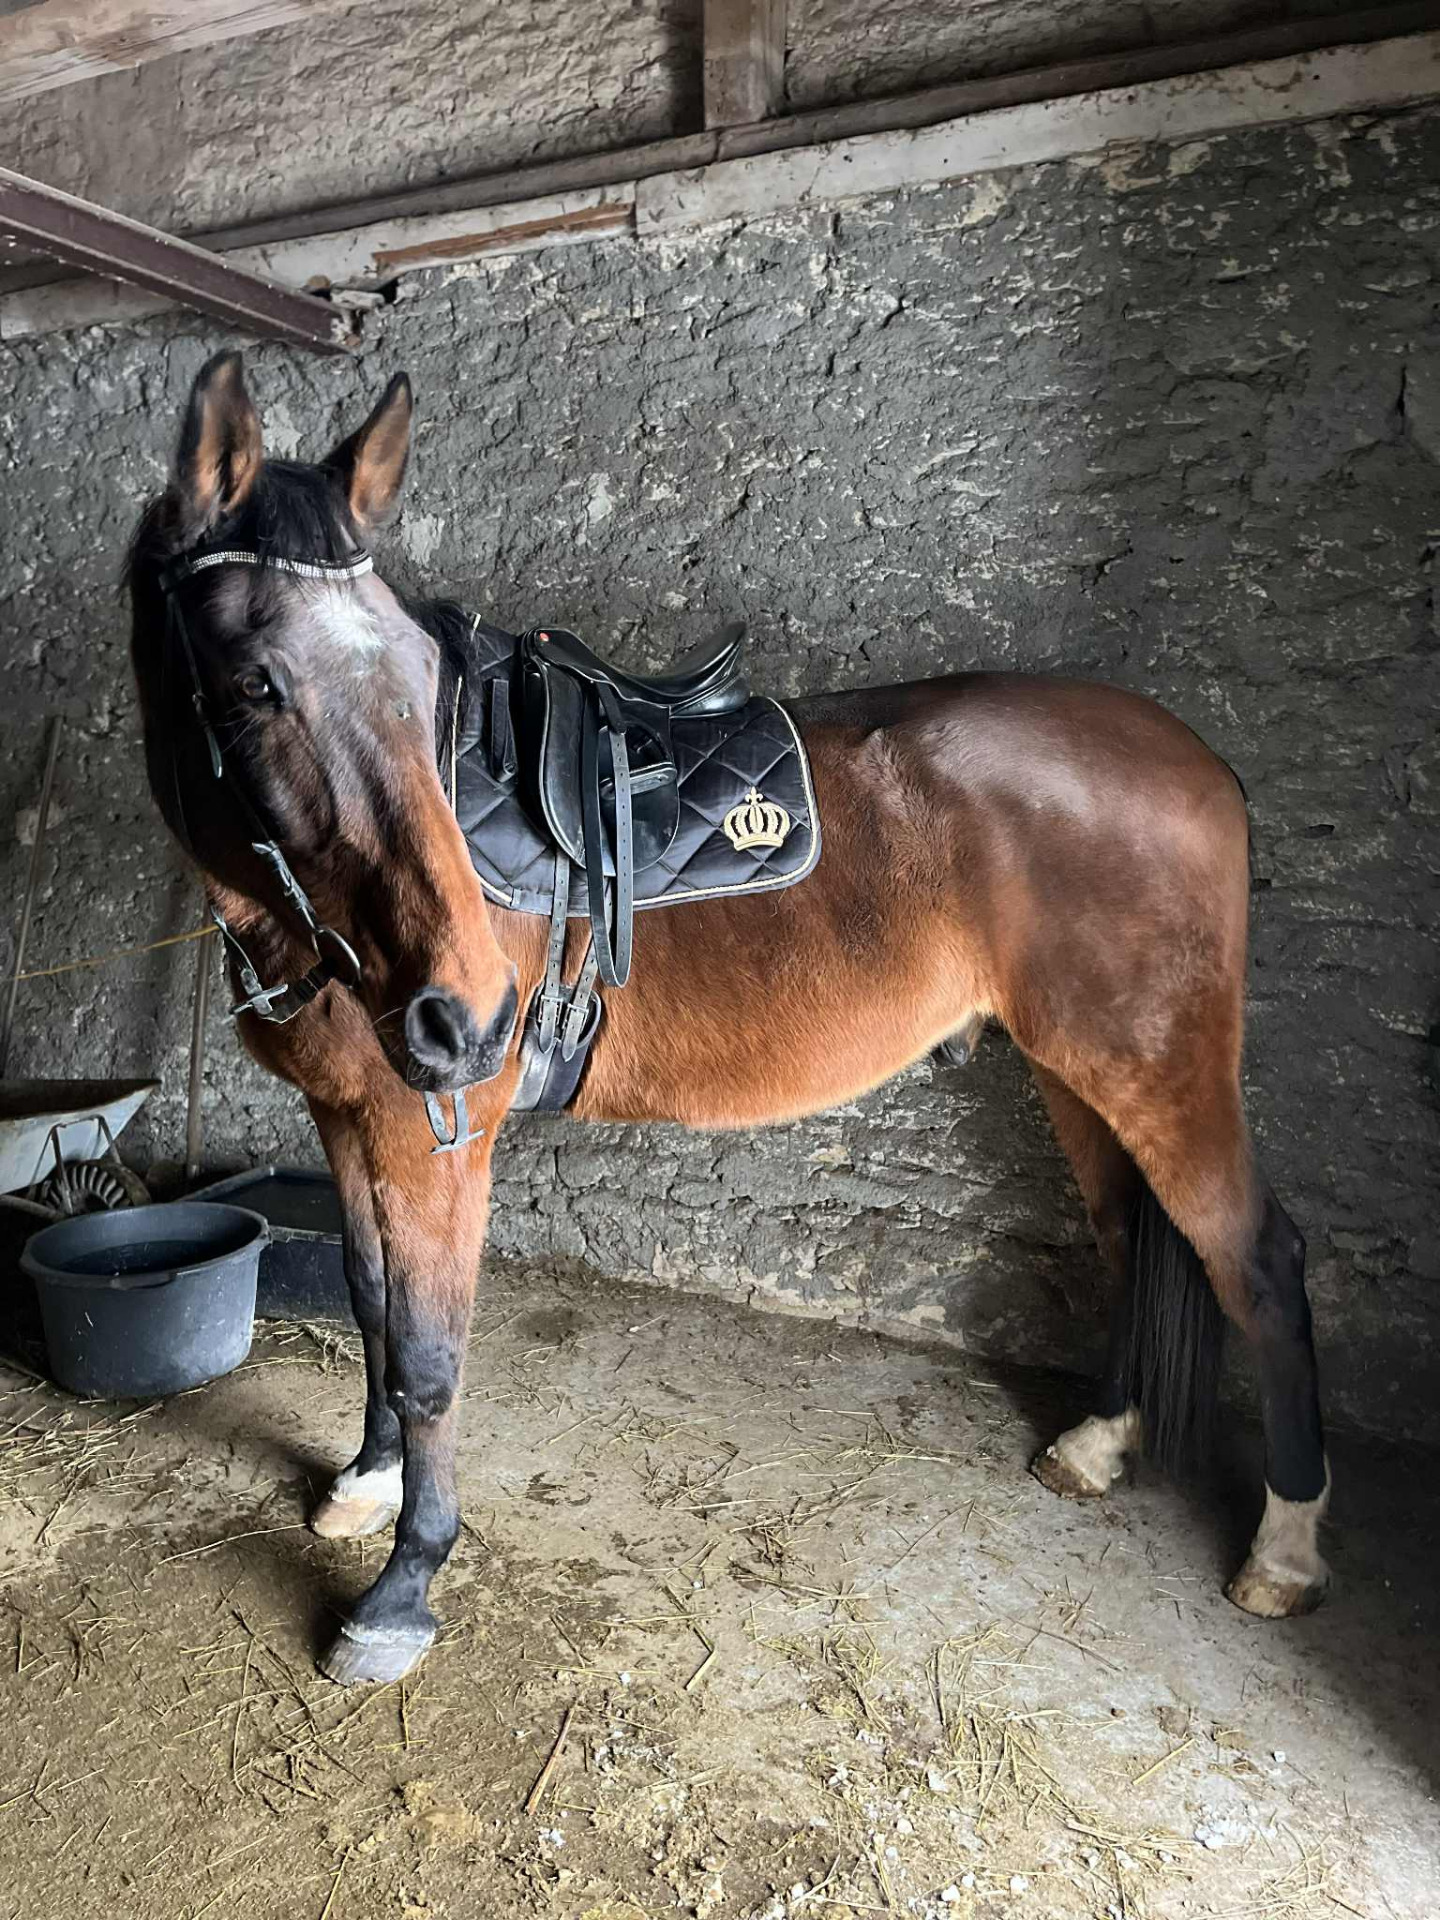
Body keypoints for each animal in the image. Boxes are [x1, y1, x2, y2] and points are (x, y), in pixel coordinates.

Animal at [126, 351, 1329, 1686]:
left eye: (419, 681)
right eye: (254, 681)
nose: (471, 1015)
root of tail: (1202, 765)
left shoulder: (437, 1135)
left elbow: (433, 1358)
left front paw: (403, 1590)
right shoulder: (353, 1117)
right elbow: (372, 1306)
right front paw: (367, 1483)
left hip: (1156, 1069)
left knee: (1257, 1261)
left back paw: (1283, 1551)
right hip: (1079, 1073)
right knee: (1128, 1239)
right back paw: (1098, 1444)